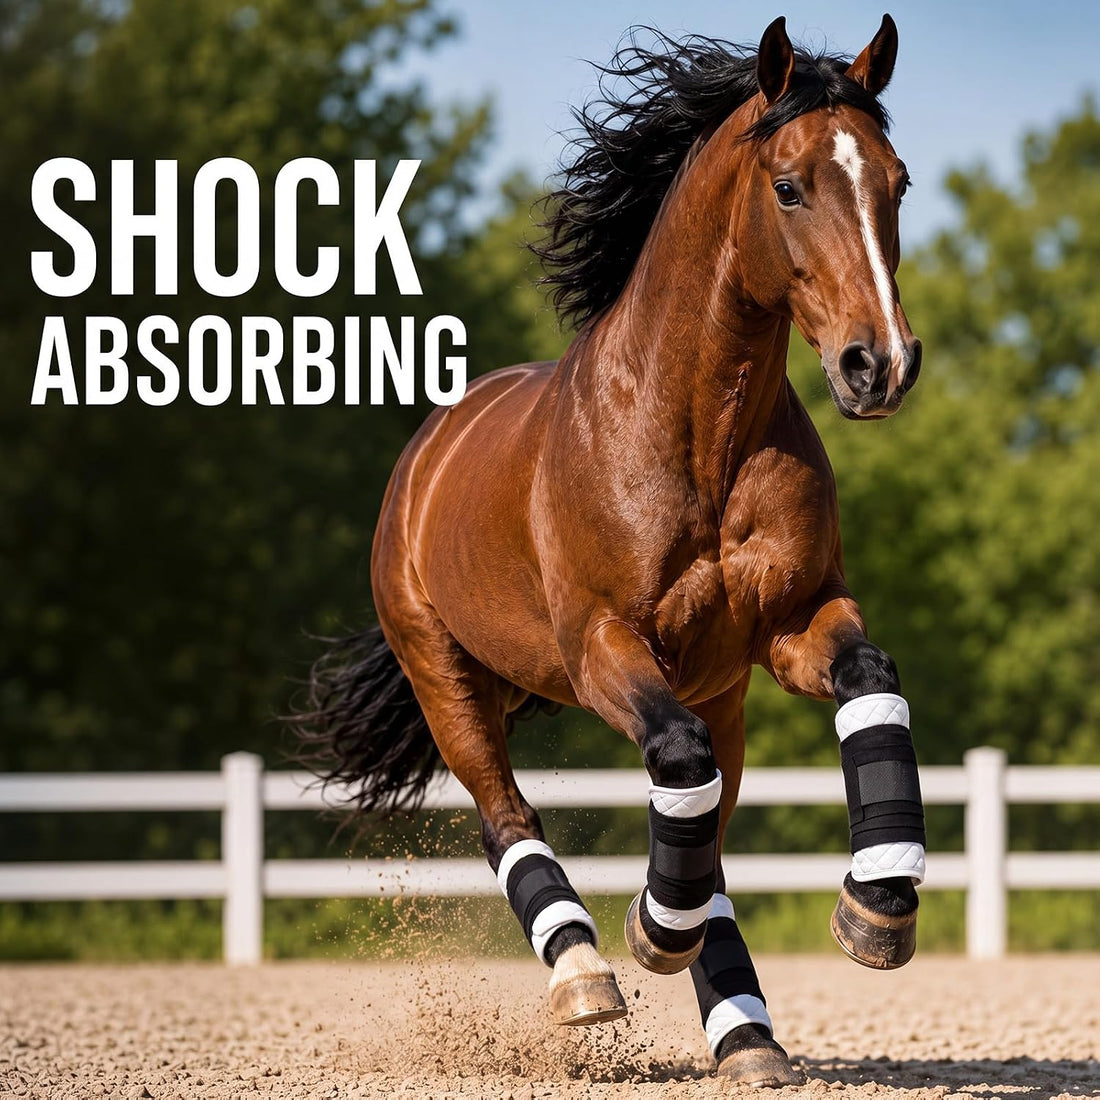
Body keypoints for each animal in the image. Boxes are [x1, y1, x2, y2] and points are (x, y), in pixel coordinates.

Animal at [295, 14, 928, 1088]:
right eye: (790, 186)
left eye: (899, 181)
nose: (878, 364)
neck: (698, 438)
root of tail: (428, 451)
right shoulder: (603, 647)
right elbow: (674, 762)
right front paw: (650, 934)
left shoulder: (794, 624)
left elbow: (868, 687)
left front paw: (876, 909)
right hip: (446, 676)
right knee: (510, 815)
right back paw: (586, 972)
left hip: (718, 693)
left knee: (708, 824)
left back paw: (748, 1034)